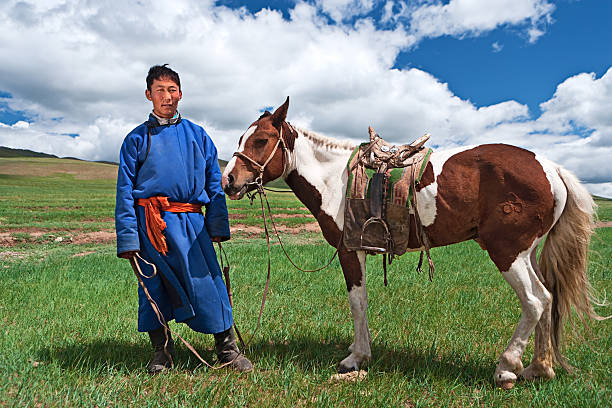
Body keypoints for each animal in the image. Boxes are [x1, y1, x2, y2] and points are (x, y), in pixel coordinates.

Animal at [220, 96, 604, 388]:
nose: (229, 180)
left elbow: (357, 302)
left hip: (508, 252)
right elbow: (362, 302)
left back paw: (507, 368)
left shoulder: (349, 250)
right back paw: (539, 367)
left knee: (535, 301)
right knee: (549, 298)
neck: (334, 180)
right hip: (528, 254)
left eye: (260, 140)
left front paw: (356, 358)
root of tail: (551, 168)